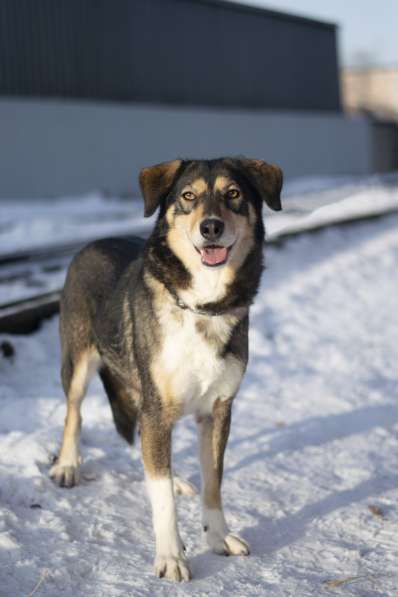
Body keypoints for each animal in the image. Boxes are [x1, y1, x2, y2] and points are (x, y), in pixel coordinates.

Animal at [49, 156, 282, 580]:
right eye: (188, 196)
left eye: (233, 193)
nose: (211, 227)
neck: (203, 306)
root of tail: (93, 243)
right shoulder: (158, 408)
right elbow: (161, 501)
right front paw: (171, 556)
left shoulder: (218, 411)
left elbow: (213, 482)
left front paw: (218, 538)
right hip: (78, 361)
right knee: (74, 413)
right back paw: (68, 465)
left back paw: (171, 478)